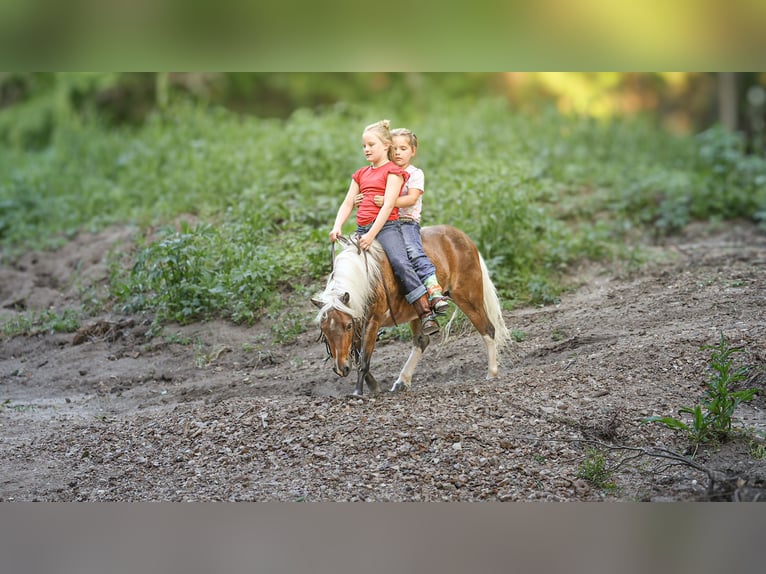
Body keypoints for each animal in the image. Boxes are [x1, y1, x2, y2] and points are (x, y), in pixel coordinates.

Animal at [312, 224, 511, 396]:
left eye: (347, 326)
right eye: (324, 330)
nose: (341, 369)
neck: (365, 278)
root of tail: (464, 239)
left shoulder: (372, 321)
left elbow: (364, 359)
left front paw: (358, 392)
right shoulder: (359, 321)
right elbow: (358, 354)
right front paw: (374, 386)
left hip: (468, 297)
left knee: (488, 329)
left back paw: (492, 373)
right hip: (417, 312)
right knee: (421, 341)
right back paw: (402, 381)